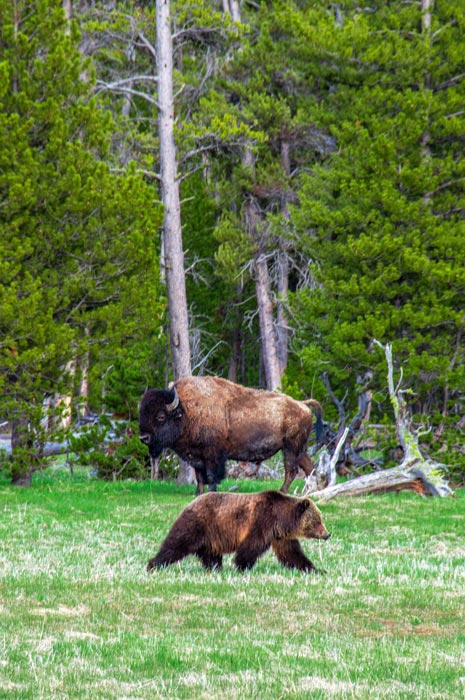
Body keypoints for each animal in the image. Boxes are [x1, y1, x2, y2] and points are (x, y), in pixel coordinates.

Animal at [147, 490, 330, 573]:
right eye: (317, 521)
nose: (327, 534)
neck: (281, 519)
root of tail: (191, 502)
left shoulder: (281, 536)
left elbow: (292, 553)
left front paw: (316, 569)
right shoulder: (262, 521)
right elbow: (251, 546)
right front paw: (242, 566)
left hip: (211, 535)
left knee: (210, 554)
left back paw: (215, 568)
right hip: (199, 523)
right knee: (176, 544)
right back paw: (153, 564)